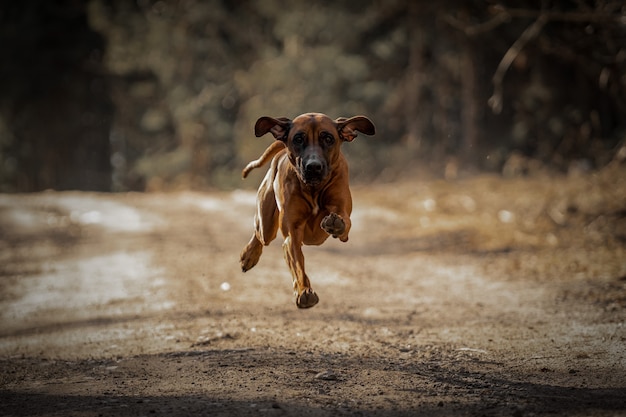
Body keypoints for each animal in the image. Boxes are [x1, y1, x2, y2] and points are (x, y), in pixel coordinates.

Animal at [239, 112, 376, 308]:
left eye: (328, 138)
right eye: (298, 139)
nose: (313, 166)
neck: (314, 188)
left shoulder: (342, 212)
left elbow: (345, 222)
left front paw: (336, 224)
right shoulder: (292, 234)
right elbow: (297, 265)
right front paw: (304, 291)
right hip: (267, 222)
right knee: (260, 234)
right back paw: (249, 255)